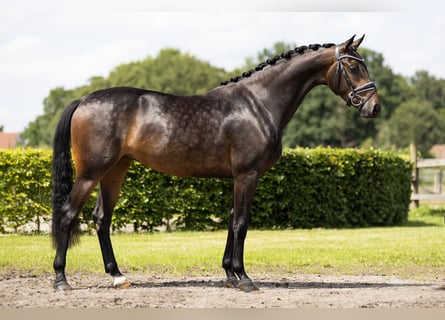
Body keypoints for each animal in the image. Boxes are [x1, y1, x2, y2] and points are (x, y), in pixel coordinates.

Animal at [51, 35, 378, 292]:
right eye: (353, 66)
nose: (374, 107)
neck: (258, 103)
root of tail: (83, 100)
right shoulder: (248, 174)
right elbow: (241, 222)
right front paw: (245, 278)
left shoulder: (239, 177)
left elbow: (232, 221)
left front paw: (230, 274)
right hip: (91, 173)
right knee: (68, 214)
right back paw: (61, 279)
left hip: (115, 171)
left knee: (101, 218)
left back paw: (117, 276)